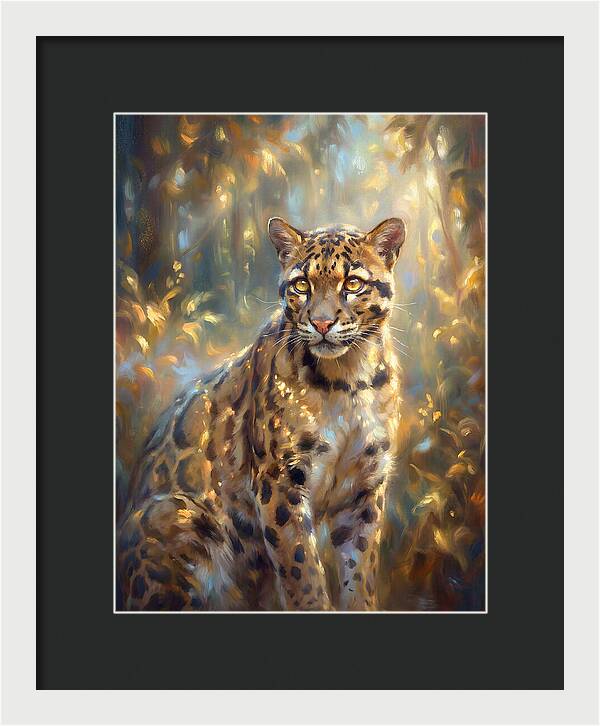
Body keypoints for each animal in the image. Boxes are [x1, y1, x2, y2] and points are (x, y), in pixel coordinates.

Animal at [116, 216, 406, 611]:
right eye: (302, 284)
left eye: (352, 283)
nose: (322, 323)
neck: (348, 381)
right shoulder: (280, 480)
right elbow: (302, 570)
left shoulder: (365, 486)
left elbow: (359, 570)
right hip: (176, 515)